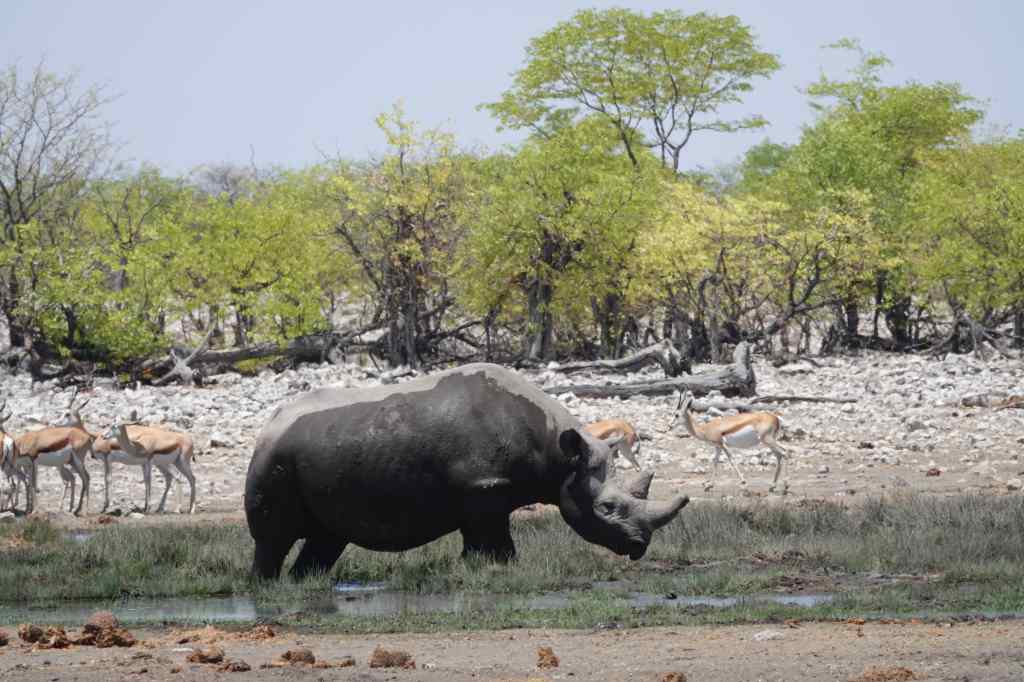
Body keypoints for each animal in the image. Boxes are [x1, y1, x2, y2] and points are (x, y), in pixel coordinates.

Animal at [245, 363, 689, 579]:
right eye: (608, 508)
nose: (639, 546)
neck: (560, 456)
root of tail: (268, 425)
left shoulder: (487, 492)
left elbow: (484, 541)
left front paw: (480, 569)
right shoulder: (483, 488)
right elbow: (494, 542)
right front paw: (496, 570)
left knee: (327, 537)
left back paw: (305, 584)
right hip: (273, 459)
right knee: (274, 538)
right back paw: (267, 586)